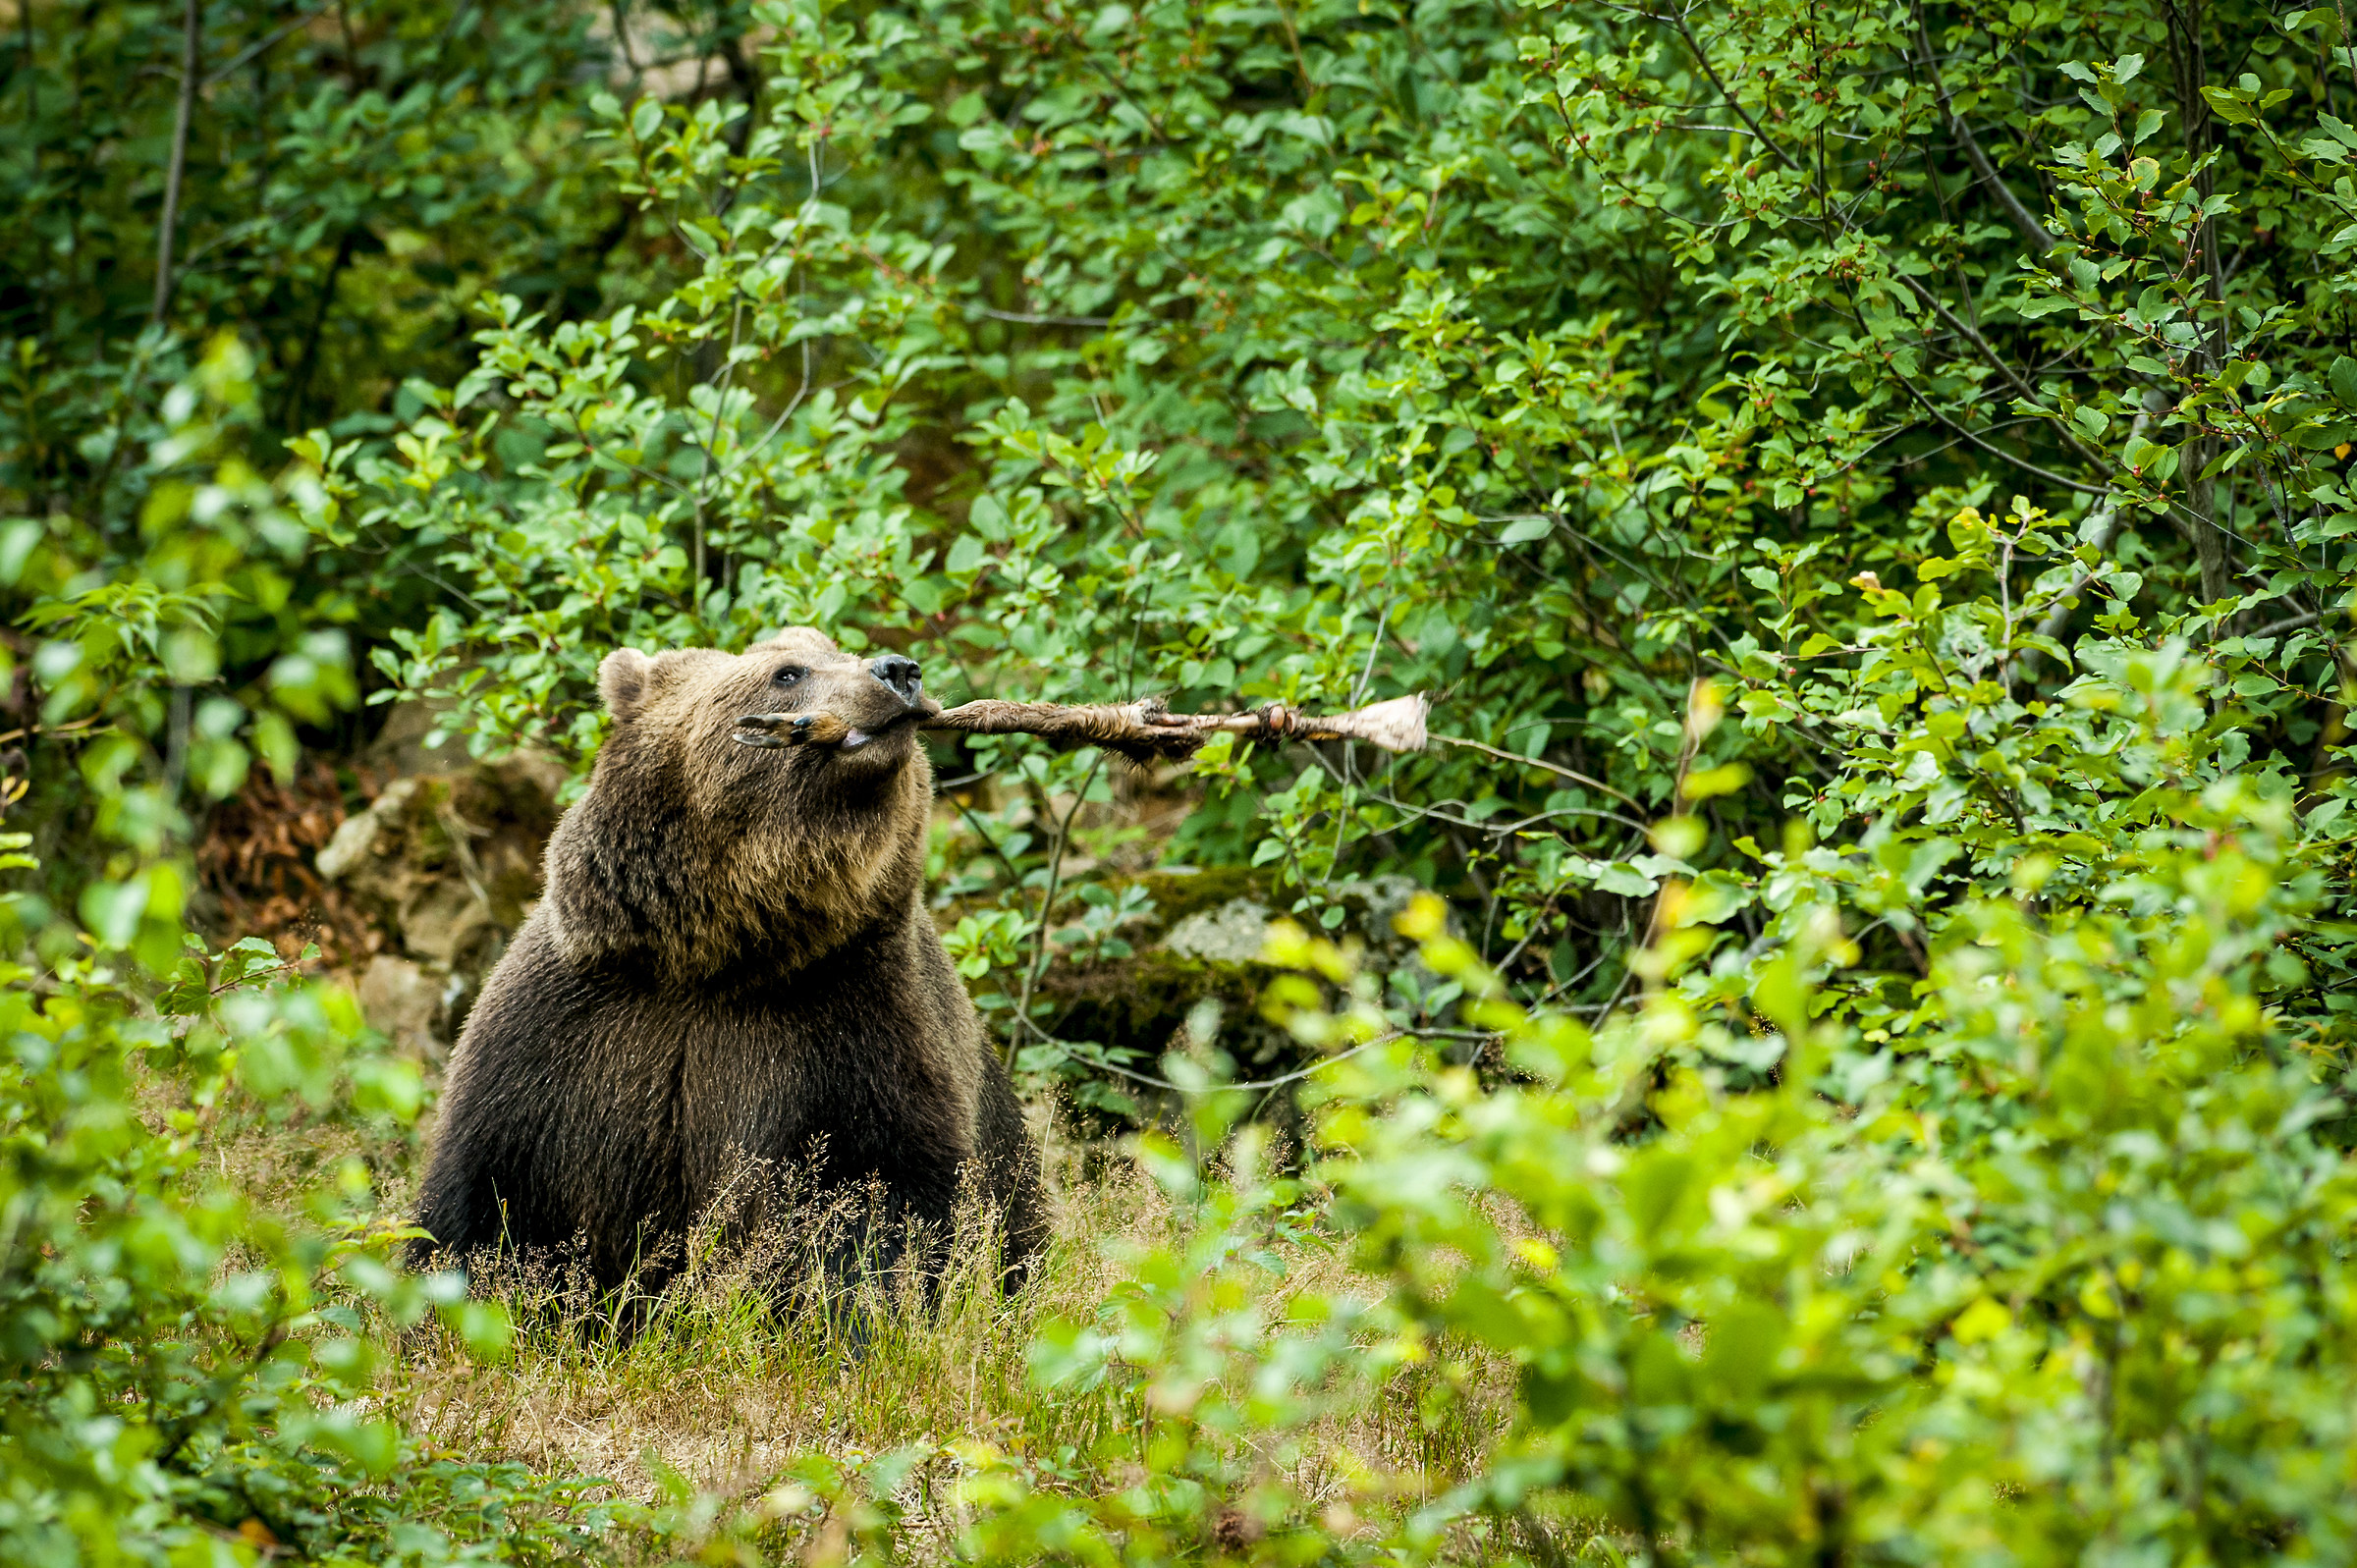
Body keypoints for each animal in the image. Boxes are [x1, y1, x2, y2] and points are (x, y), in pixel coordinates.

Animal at [409, 627, 1047, 1304]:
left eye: (838, 652)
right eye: (787, 672)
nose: (898, 671)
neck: (717, 956)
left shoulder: (849, 1023)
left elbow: (879, 1201)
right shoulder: (566, 1037)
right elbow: (489, 1210)